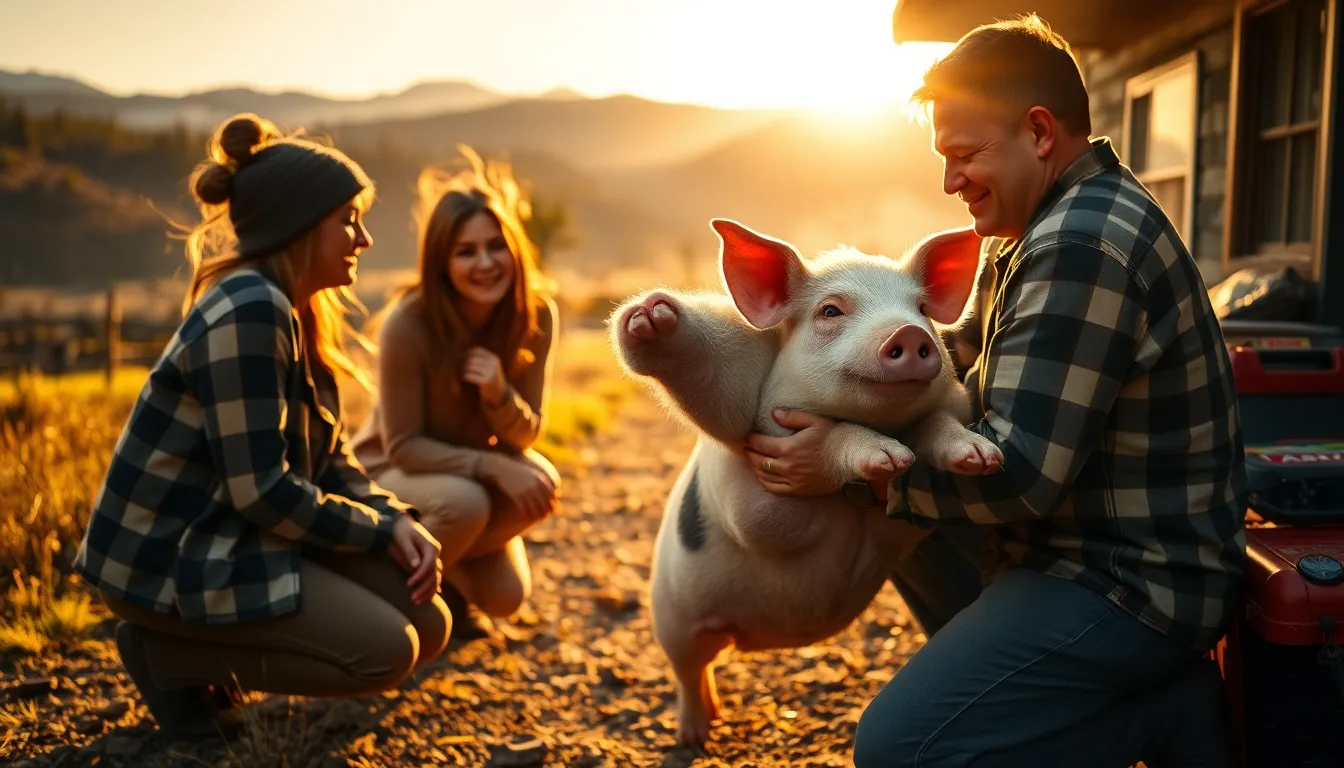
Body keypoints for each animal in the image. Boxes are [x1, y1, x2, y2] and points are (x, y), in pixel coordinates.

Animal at [608, 218, 1003, 748]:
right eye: (830, 310)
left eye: (921, 309)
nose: (908, 331)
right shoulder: (750, 445)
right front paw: (889, 459)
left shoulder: (941, 415)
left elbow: (937, 425)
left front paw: (981, 459)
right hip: (671, 617)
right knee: (690, 671)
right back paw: (694, 736)